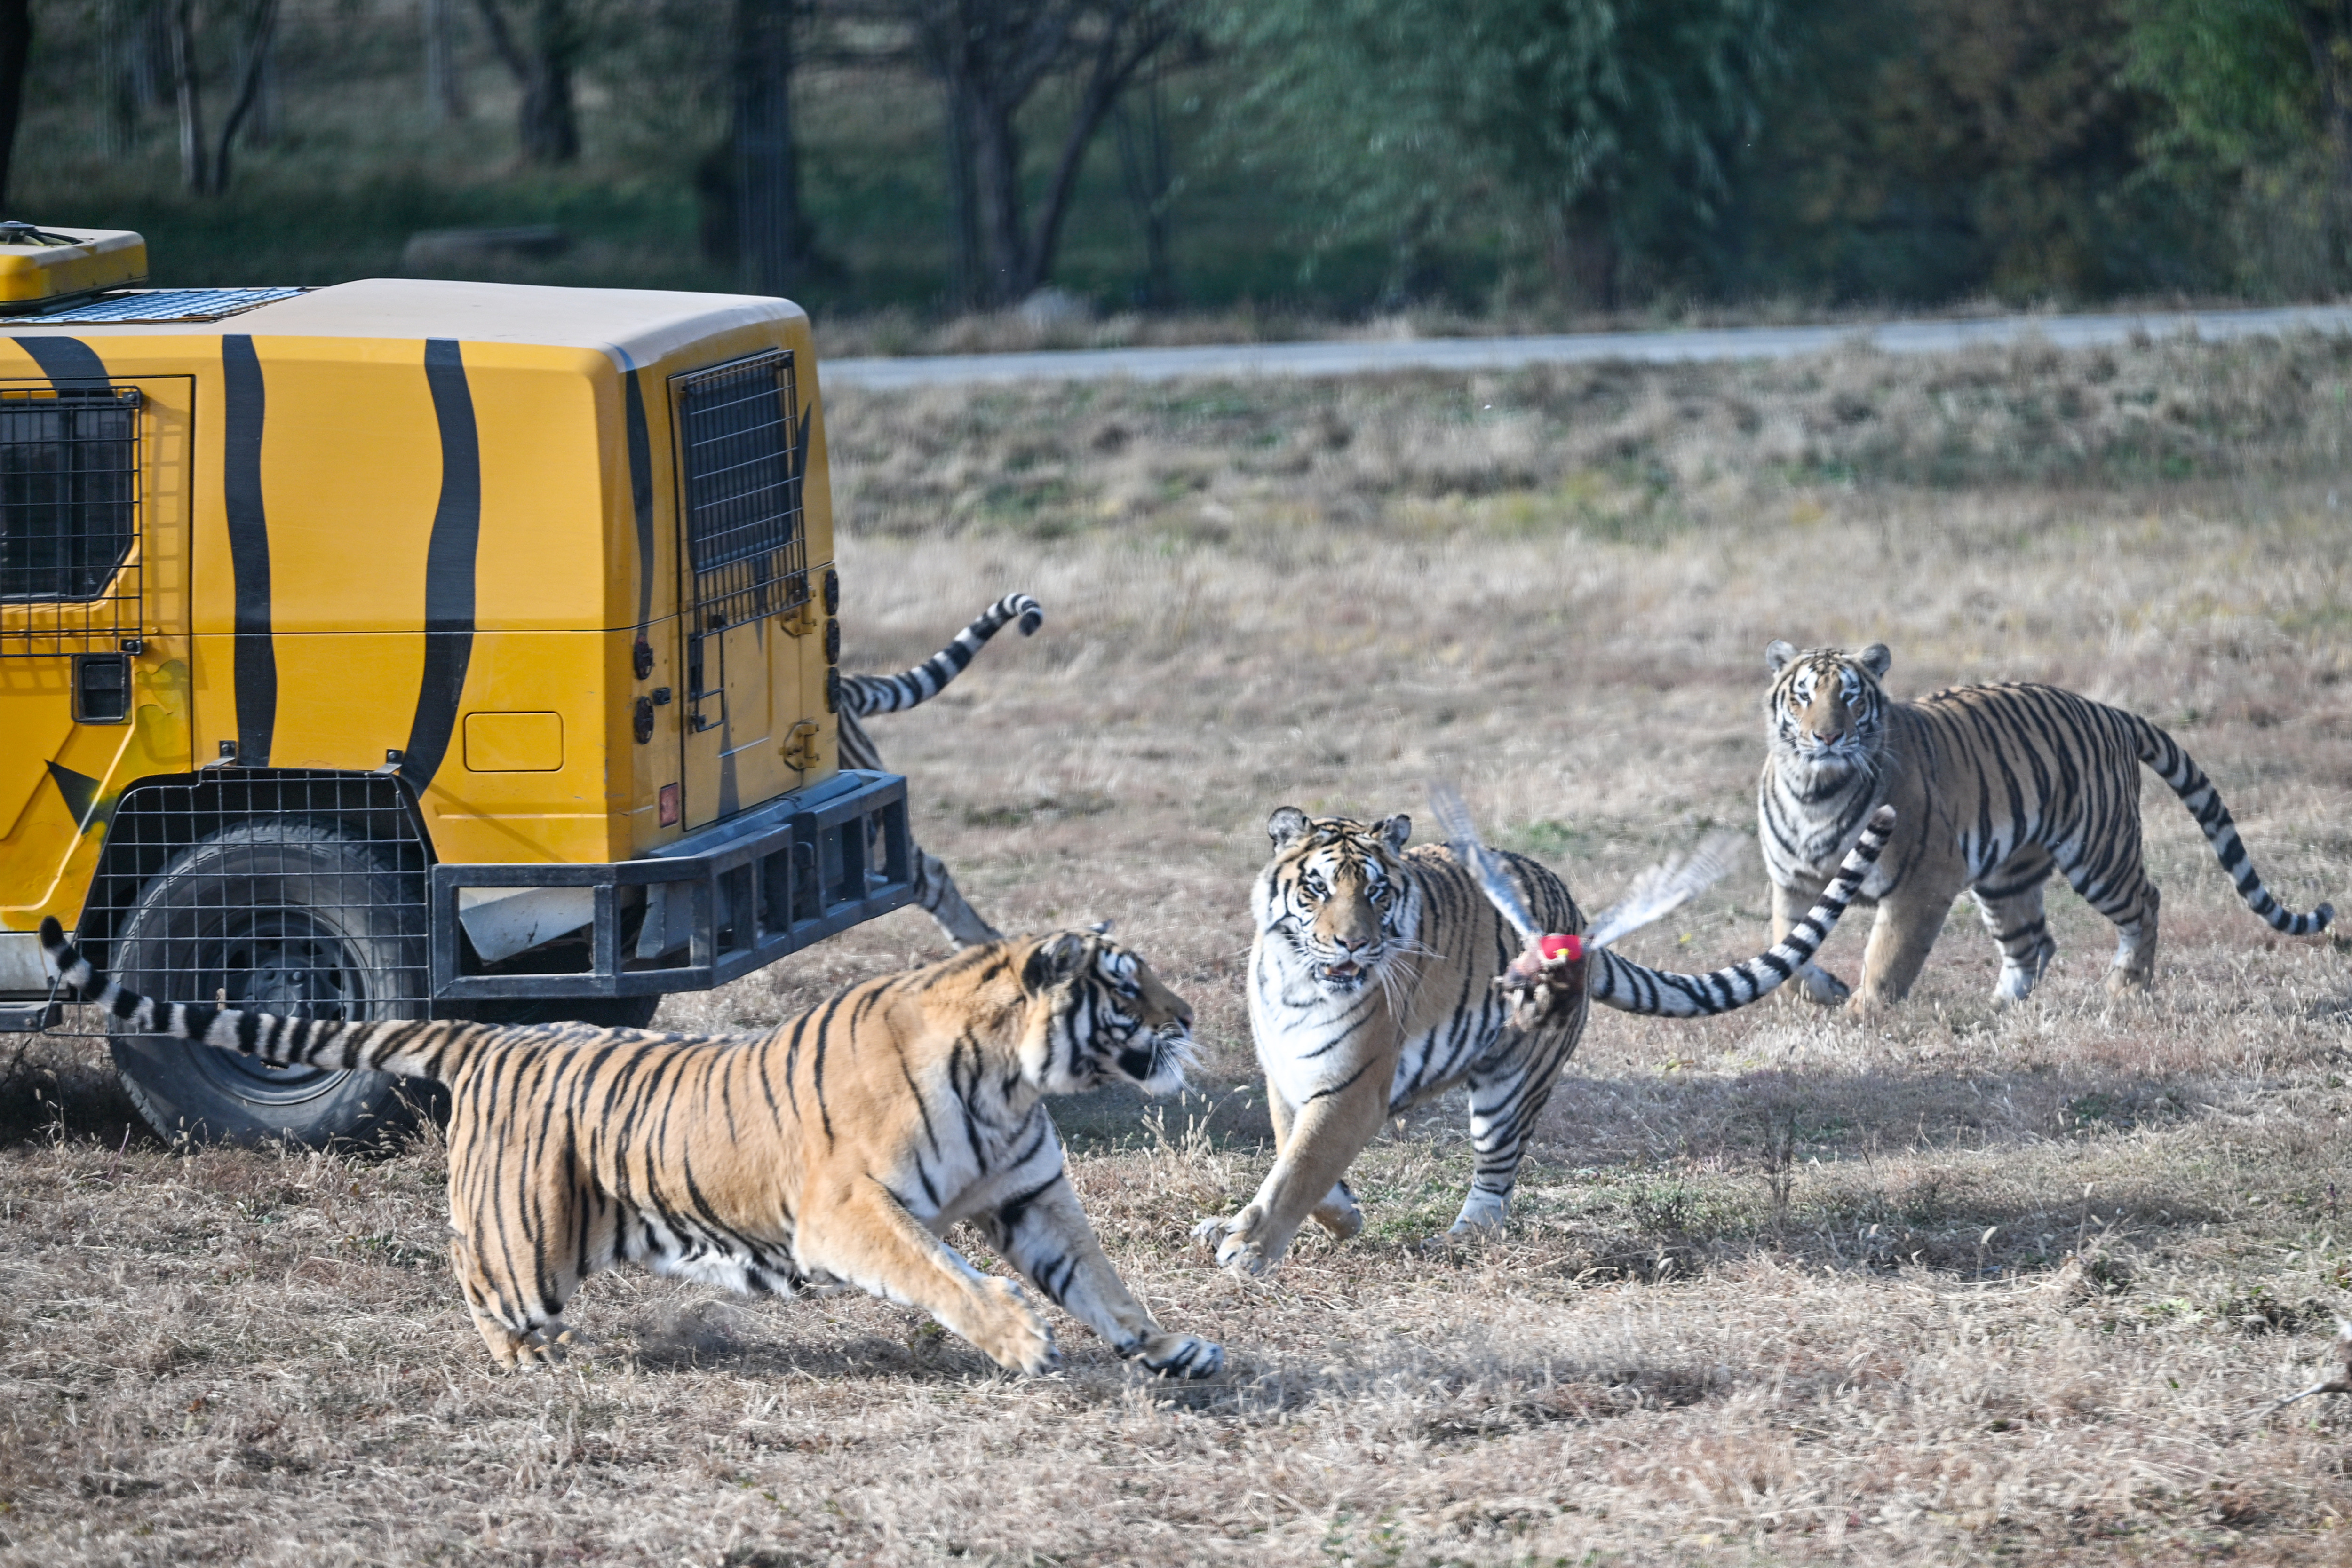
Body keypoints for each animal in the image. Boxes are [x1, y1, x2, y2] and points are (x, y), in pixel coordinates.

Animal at [40, 916, 1222, 1380]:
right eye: (1126, 987)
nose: (1191, 1013)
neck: (1012, 1079)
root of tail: (490, 1035)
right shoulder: (848, 1211)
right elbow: (947, 1274)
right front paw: (1020, 1338)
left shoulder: (1032, 1198)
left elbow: (1107, 1283)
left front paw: (1176, 1350)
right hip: (526, 1245)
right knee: (469, 1271)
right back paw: (525, 1357)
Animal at [1192, 802, 1895, 1276]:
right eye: (1316, 889)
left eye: (1377, 892)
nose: (1352, 944)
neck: (1298, 981)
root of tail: (1575, 920)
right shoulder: (1288, 1072)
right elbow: (1295, 1154)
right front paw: (1331, 1217)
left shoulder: (1355, 1086)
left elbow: (1300, 1166)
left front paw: (1249, 1247)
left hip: (1510, 1087)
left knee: (1495, 1183)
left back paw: (1456, 1239)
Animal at [1758, 641, 2334, 1010]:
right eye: (1803, 696)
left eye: (1851, 697)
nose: (1827, 738)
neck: (1816, 791)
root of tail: (2110, 710)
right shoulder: (1793, 884)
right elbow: (1788, 949)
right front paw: (1822, 992)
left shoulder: (1922, 883)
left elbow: (1887, 958)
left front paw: (1861, 1013)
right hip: (2004, 877)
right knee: (2032, 942)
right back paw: (1998, 1008)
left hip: (2099, 855)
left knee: (2145, 902)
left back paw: (2126, 988)